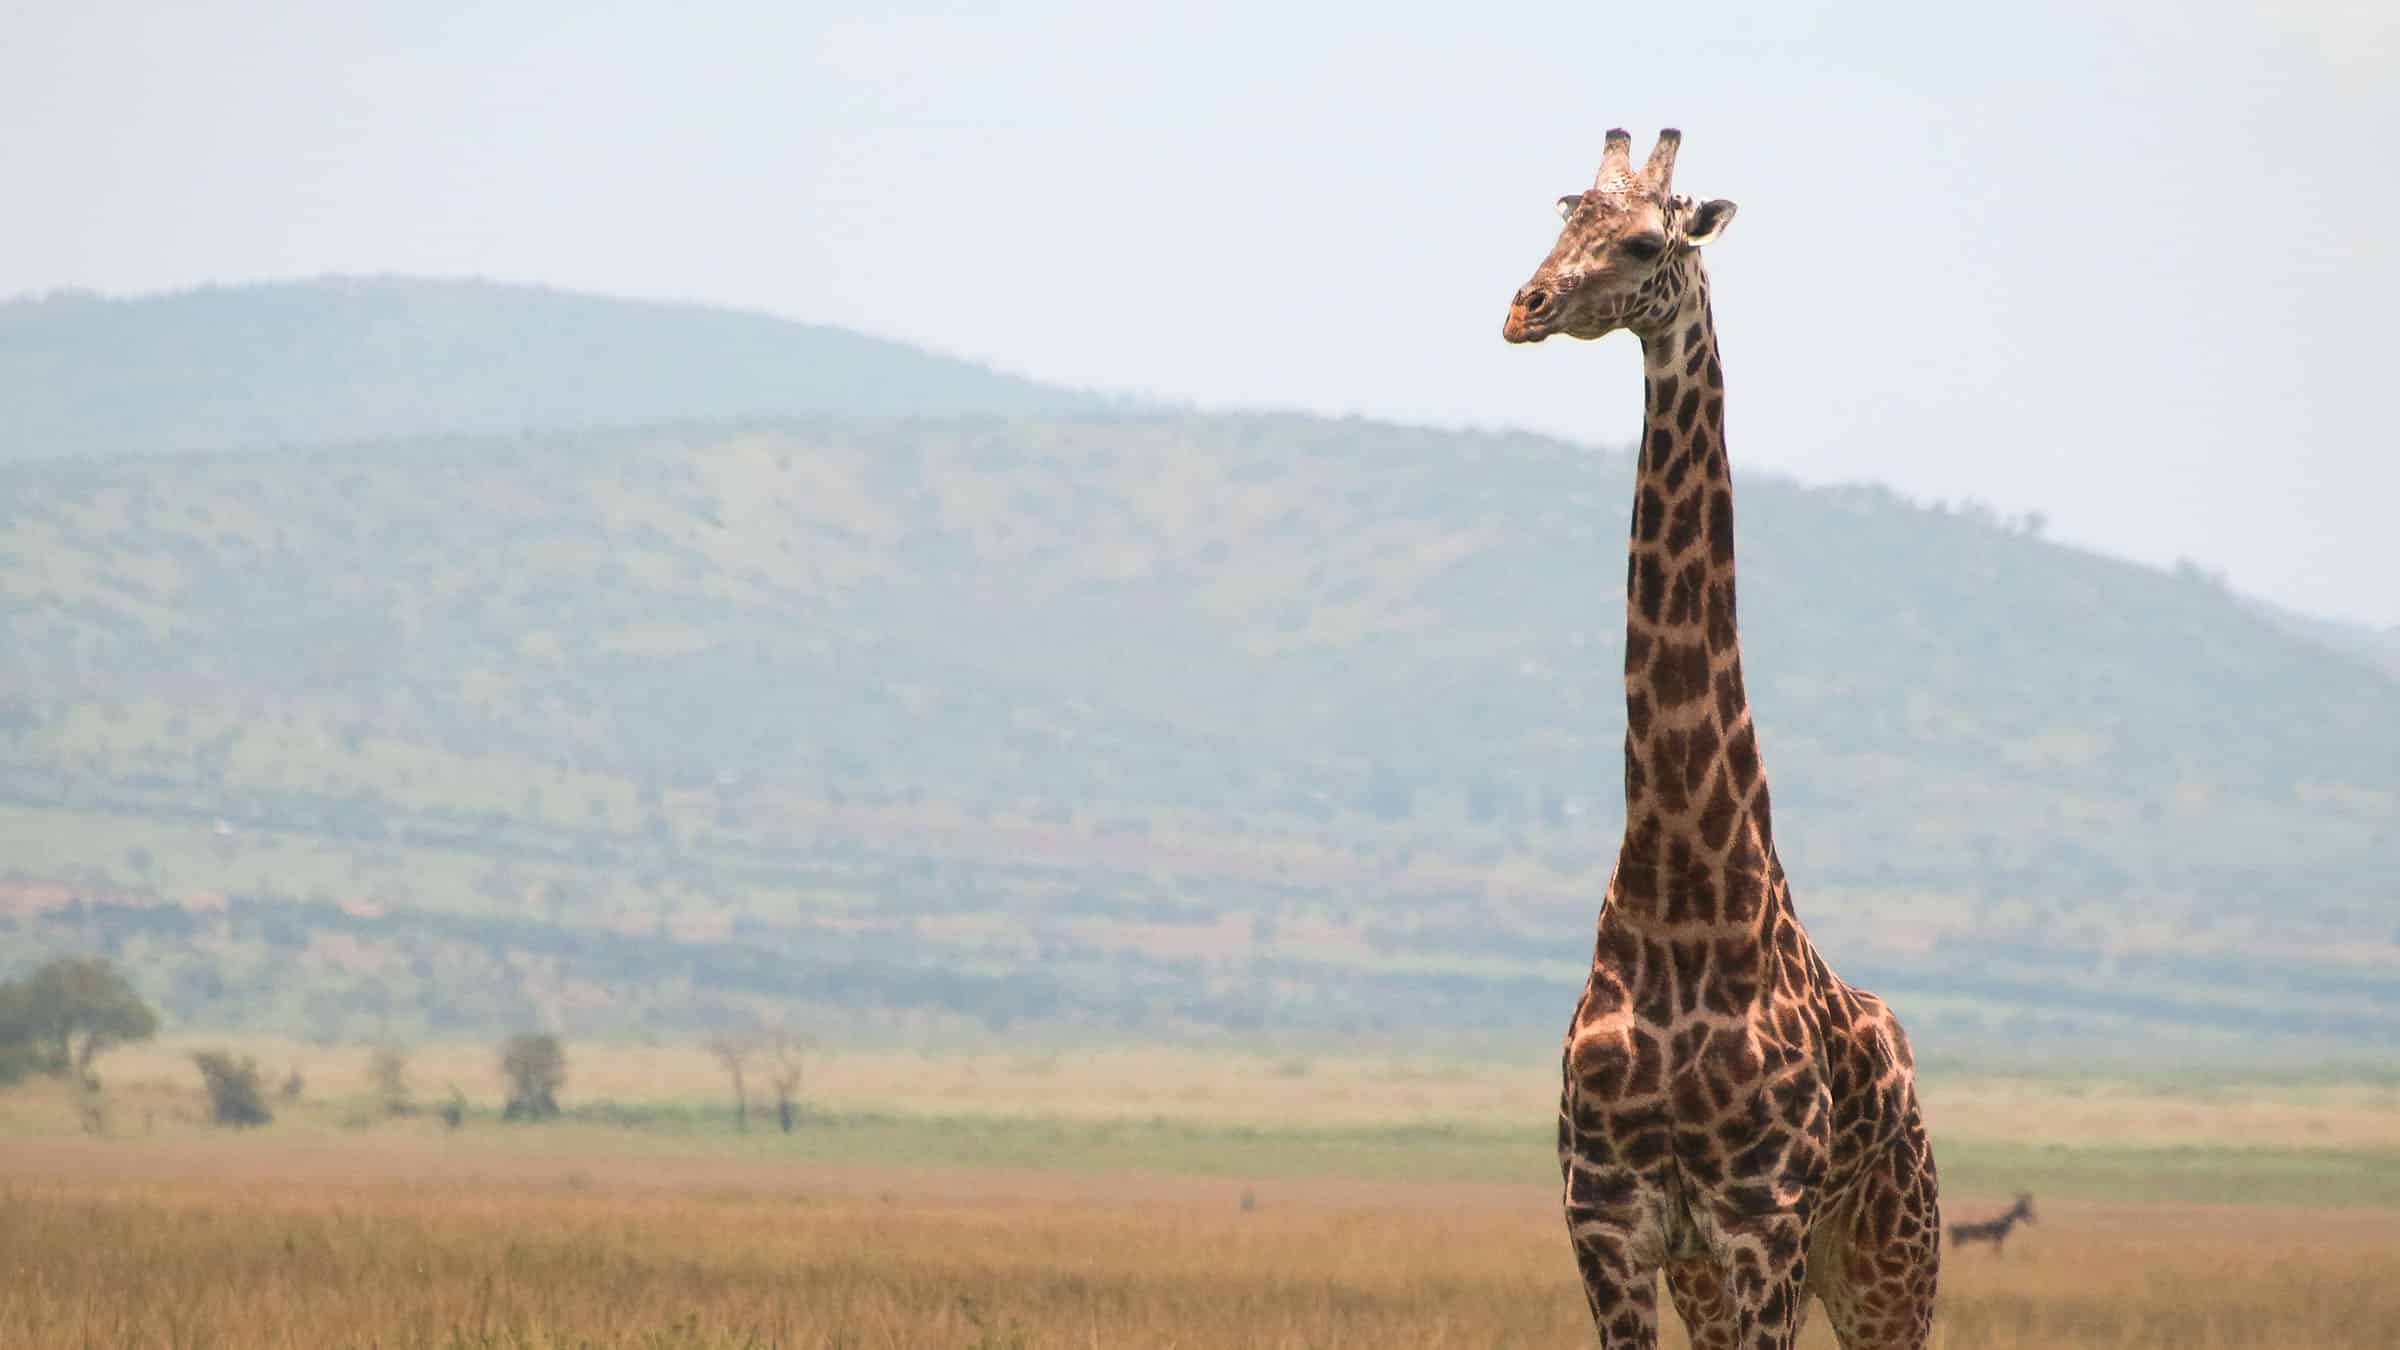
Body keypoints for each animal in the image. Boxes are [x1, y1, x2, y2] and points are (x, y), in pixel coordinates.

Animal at [1500, 129, 1941, 1348]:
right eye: (1563, 216)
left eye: (1646, 243)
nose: (1524, 306)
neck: (1681, 895)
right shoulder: (1610, 1221)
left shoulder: (1763, 1222)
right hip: (1720, 1273)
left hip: (1893, 1263)